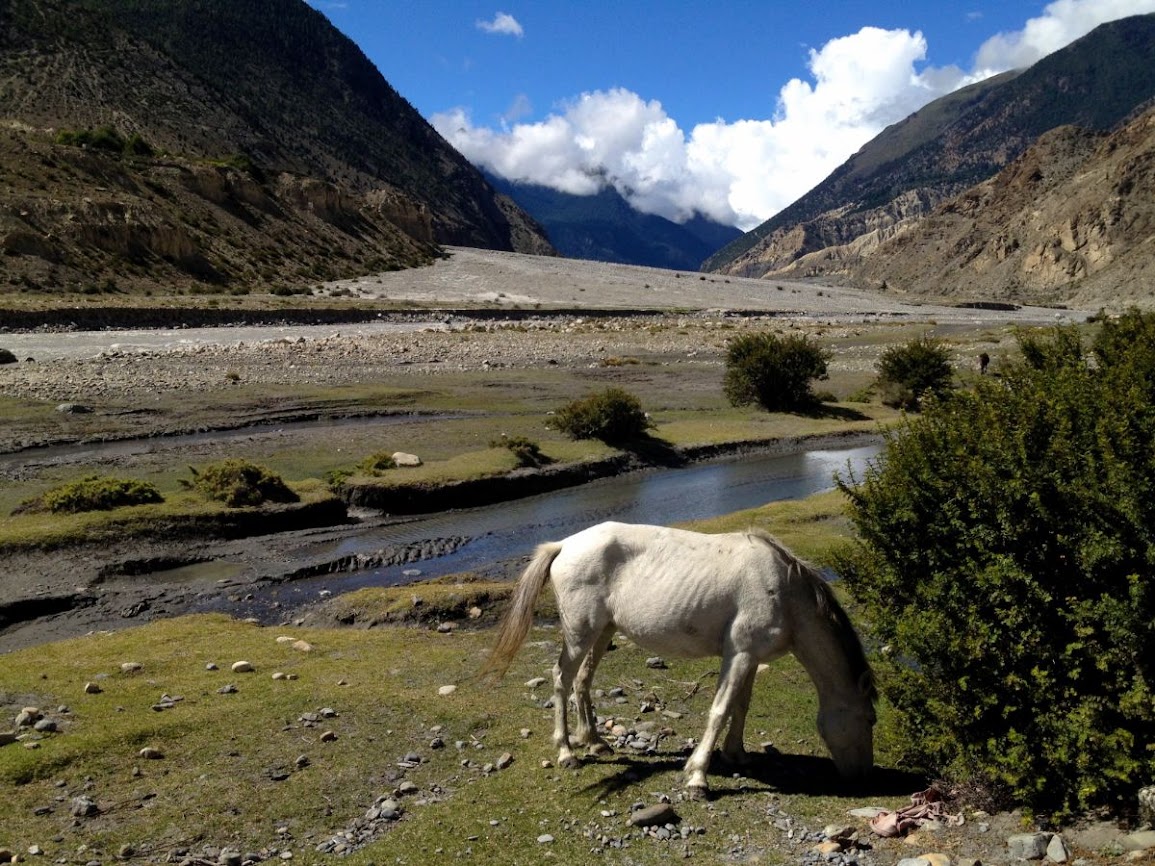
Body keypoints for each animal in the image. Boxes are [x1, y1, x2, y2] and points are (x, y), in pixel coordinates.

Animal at [485, 521, 873, 799]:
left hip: (604, 631)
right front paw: (698, 777)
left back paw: (594, 741)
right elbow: (720, 710)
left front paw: (737, 755)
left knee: (582, 681)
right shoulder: (739, 654)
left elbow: (741, 706)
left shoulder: (750, 657)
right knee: (561, 680)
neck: (785, 592)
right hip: (580, 634)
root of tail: (565, 544)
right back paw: (567, 752)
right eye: (868, 719)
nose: (862, 777)